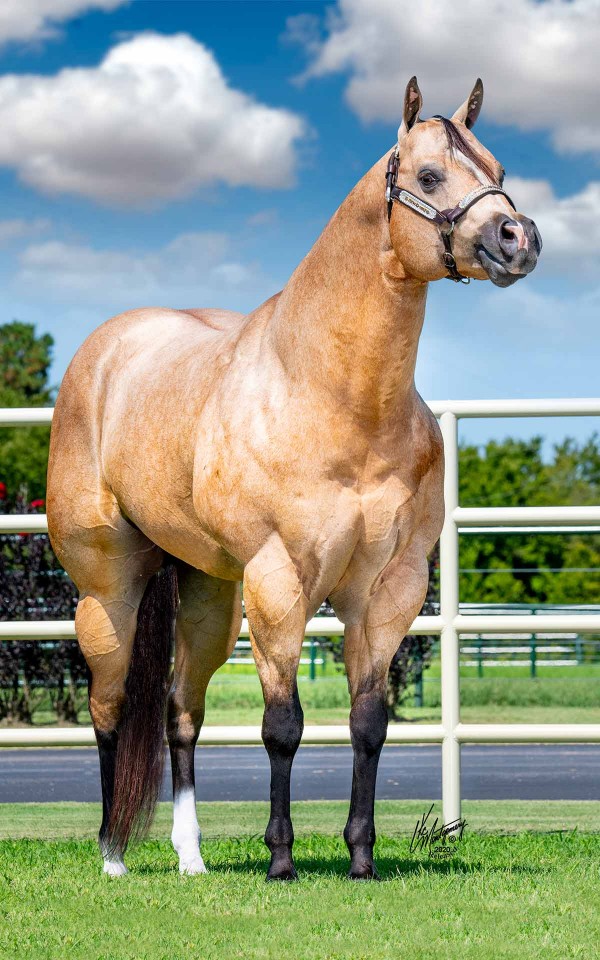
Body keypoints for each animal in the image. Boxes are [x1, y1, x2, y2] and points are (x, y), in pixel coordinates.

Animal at [47, 79, 540, 880]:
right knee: (110, 707)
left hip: (209, 597)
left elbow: (368, 723)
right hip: (109, 591)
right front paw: (281, 858)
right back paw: (114, 855)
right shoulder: (279, 581)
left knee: (181, 713)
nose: (517, 238)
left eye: (497, 167)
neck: (333, 396)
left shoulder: (389, 590)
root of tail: (105, 350)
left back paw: (191, 858)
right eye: (430, 174)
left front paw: (361, 857)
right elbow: (282, 725)